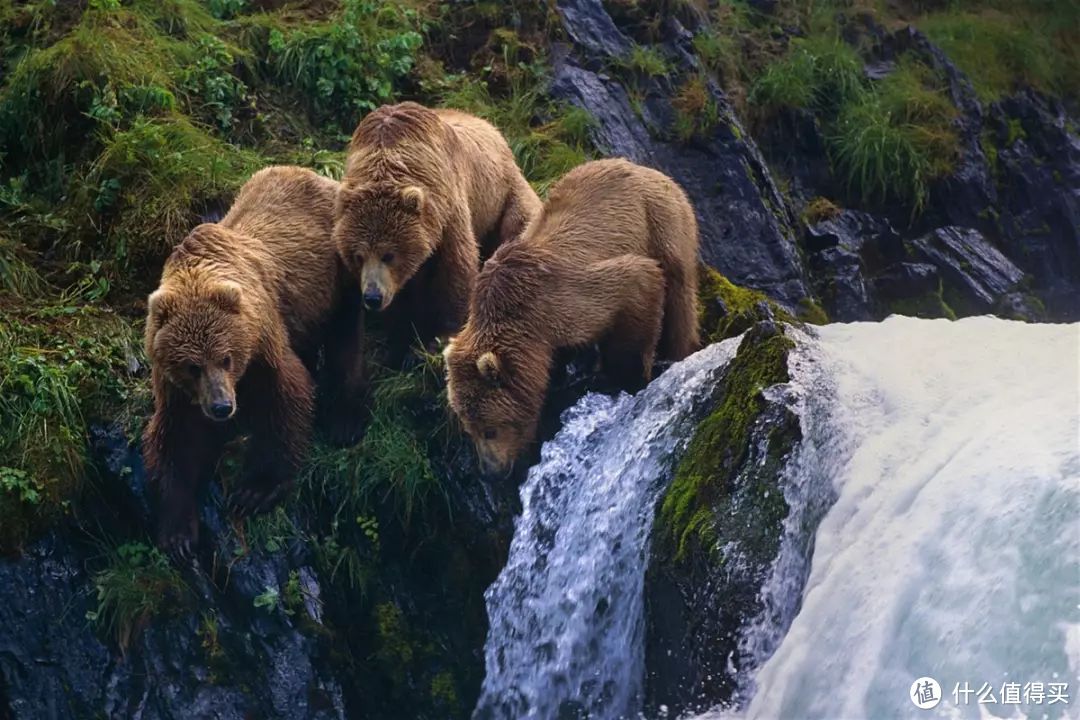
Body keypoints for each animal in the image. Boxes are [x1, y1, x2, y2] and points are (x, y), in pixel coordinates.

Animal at [142, 167, 367, 557]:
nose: (221, 406)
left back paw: (345, 418)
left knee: (347, 336)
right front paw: (178, 532)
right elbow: (176, 437)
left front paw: (254, 491)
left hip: (338, 274)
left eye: (226, 358)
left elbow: (284, 397)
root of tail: (322, 176)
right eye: (192, 366)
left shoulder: (263, 341)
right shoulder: (174, 387)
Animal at [330, 99, 540, 349]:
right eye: (358, 256)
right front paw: (401, 337)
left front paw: (444, 334)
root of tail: (491, 126)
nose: (372, 297)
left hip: (503, 194)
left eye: (388, 255)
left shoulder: (447, 208)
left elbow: (455, 266)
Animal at [444, 158, 699, 474]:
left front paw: (623, 376)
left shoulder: (568, 299)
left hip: (663, 222)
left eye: (490, 429)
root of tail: (648, 169)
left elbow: (636, 285)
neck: (527, 325)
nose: (491, 471)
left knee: (680, 295)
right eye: (469, 428)